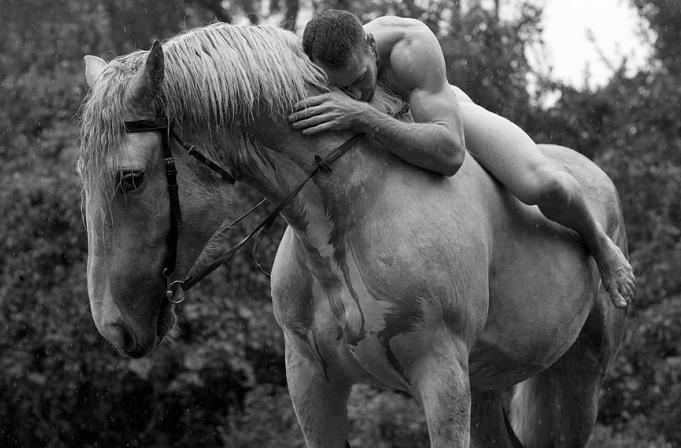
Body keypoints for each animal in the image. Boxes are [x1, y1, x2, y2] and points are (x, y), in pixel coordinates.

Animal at [79, 23, 627, 448]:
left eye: (130, 178)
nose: (113, 327)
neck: (355, 205)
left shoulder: (443, 377)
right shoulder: (311, 382)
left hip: (576, 380)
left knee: (548, 188)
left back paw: (616, 267)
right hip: (491, 385)